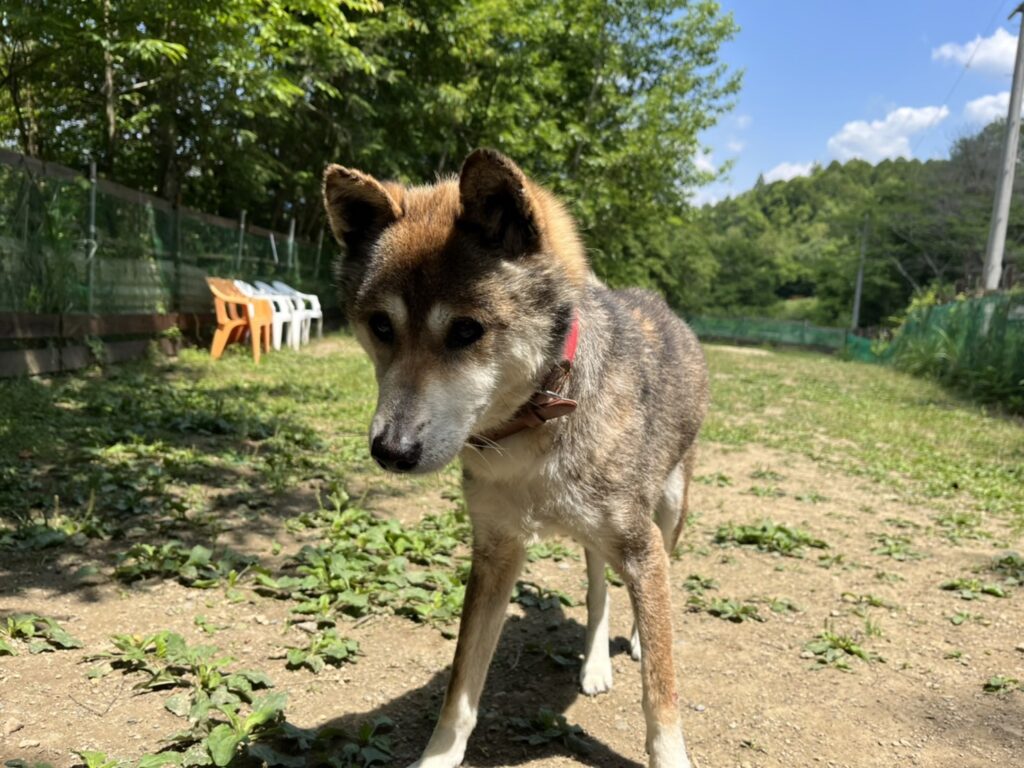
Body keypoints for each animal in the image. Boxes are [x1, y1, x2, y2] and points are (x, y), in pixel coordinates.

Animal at [323, 149, 709, 768]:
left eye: (466, 330)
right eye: (380, 326)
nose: (390, 450)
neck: (535, 423)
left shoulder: (640, 543)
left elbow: (661, 694)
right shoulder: (495, 549)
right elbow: (461, 686)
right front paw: (438, 757)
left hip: (668, 511)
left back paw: (634, 641)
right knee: (597, 587)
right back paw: (594, 663)